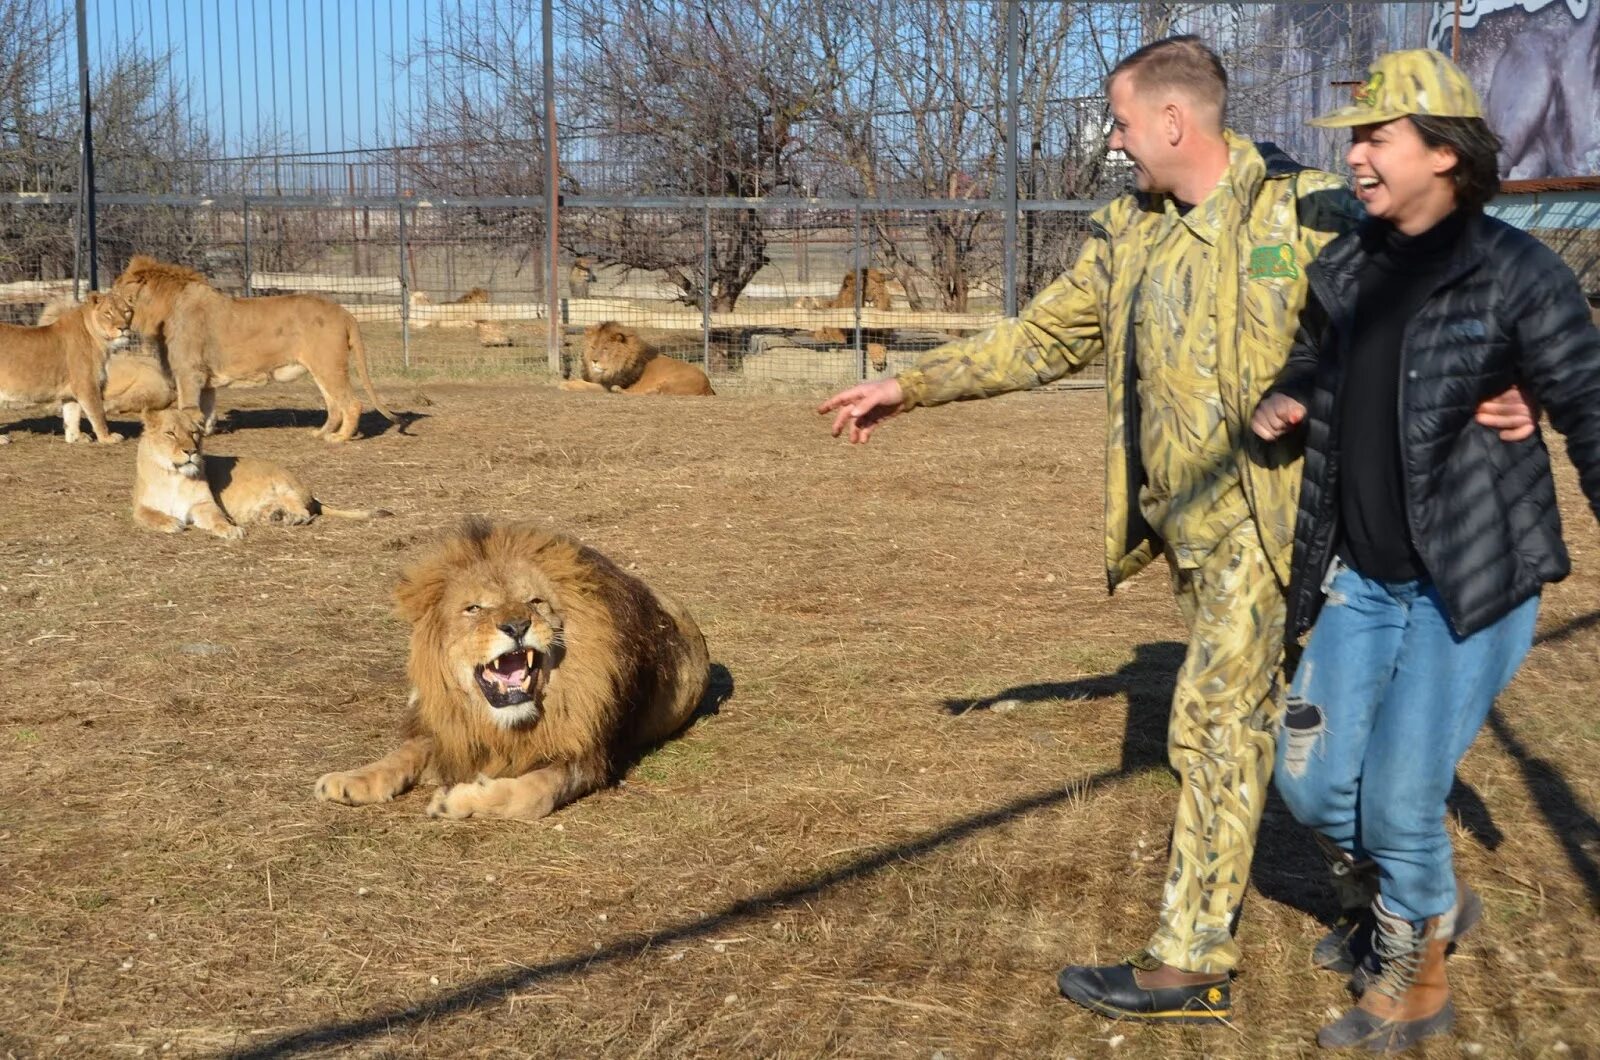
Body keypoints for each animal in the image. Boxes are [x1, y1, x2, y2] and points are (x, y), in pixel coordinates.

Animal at [0, 291, 132, 445]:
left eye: (126, 312)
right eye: (108, 313)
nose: (123, 328)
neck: (101, 341)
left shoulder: (71, 391)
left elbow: (72, 415)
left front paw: (75, 438)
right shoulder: (87, 385)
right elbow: (98, 413)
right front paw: (107, 438)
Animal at [114, 257, 398, 445]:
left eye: (117, 289)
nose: (108, 295)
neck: (165, 309)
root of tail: (345, 312)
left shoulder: (188, 373)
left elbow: (187, 407)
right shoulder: (204, 379)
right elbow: (207, 408)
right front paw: (205, 431)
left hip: (328, 366)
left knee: (351, 404)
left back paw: (339, 438)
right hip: (321, 369)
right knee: (335, 405)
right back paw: (321, 433)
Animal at [132, 406, 388, 541]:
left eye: (194, 433)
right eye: (170, 433)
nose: (191, 451)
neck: (173, 475)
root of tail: (311, 494)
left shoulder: (204, 504)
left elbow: (217, 518)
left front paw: (231, 530)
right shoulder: (139, 507)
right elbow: (150, 515)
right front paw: (171, 523)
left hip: (285, 486)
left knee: (306, 513)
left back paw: (290, 519)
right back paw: (273, 516)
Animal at [312, 521, 707, 819]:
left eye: (535, 601)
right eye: (474, 608)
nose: (517, 625)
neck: (502, 722)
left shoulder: (587, 756)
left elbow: (534, 792)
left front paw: (455, 800)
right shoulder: (454, 729)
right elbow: (404, 752)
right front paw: (350, 780)